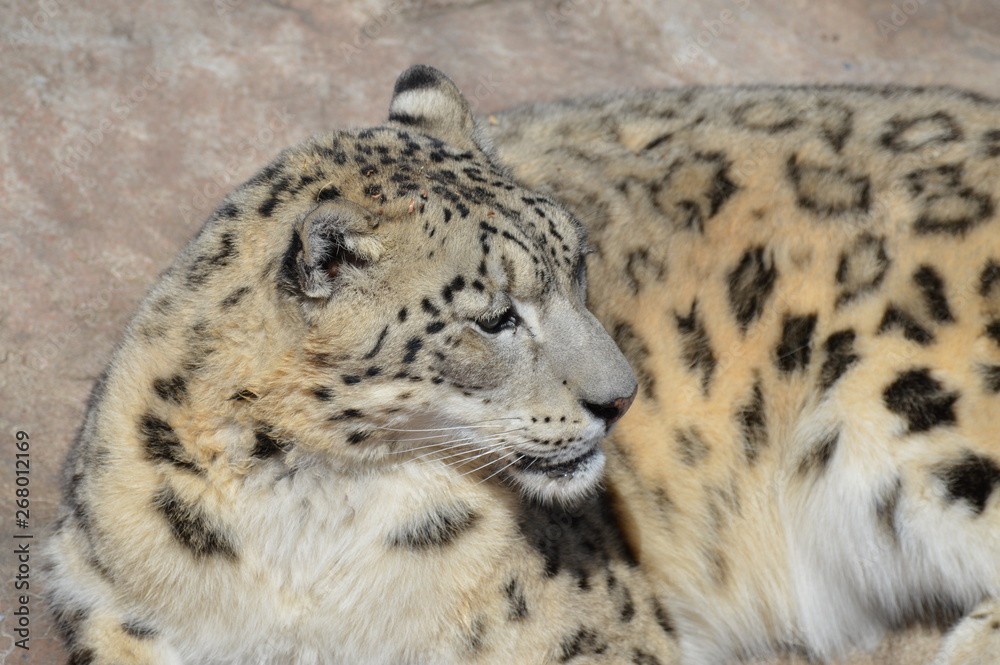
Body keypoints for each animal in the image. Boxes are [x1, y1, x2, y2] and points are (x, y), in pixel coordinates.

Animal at [45, 65, 1000, 665]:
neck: (308, 517)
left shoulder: (587, 633)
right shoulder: (109, 596)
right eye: (495, 316)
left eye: (578, 265)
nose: (620, 399)